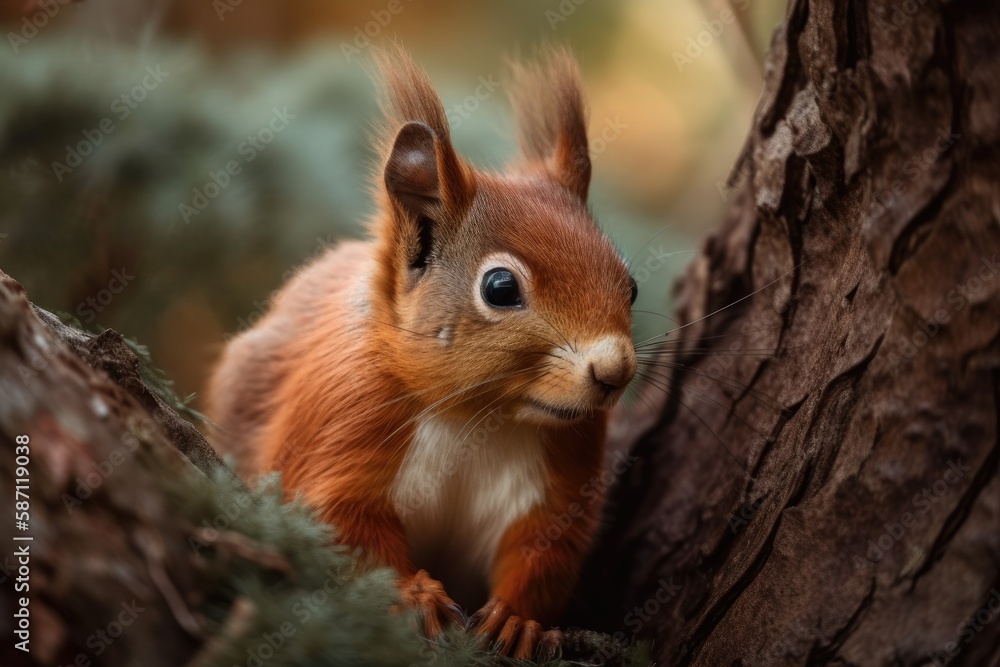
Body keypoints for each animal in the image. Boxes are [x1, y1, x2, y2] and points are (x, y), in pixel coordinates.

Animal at [207, 48, 636, 664]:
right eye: (500, 288)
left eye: (631, 285)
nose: (614, 371)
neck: (478, 416)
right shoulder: (345, 416)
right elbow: (338, 517)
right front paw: (412, 596)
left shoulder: (561, 469)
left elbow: (543, 549)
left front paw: (518, 620)